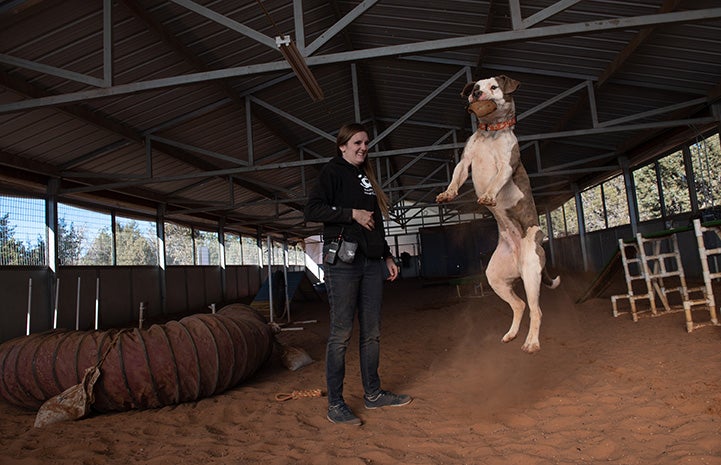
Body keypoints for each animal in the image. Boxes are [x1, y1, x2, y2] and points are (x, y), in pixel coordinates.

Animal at [436, 75, 560, 352]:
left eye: (494, 87)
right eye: (475, 87)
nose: (477, 93)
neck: (491, 132)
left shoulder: (505, 165)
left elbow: (495, 182)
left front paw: (488, 197)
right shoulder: (465, 162)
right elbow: (455, 178)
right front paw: (447, 194)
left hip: (531, 274)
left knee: (536, 310)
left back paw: (531, 343)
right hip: (495, 277)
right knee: (519, 305)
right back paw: (511, 334)